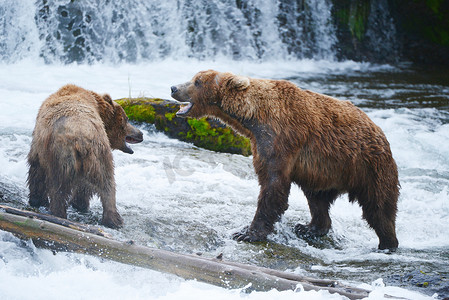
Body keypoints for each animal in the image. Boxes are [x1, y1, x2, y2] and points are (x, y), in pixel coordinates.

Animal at [26, 84, 142, 227]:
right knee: (107, 185)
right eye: (126, 119)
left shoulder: (39, 147)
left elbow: (36, 169)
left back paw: (60, 212)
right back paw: (112, 219)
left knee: (61, 188)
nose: (141, 133)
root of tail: (81, 139)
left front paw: (37, 200)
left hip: (67, 157)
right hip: (97, 156)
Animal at [172, 69, 400, 250]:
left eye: (197, 81)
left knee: (379, 206)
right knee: (317, 199)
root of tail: (379, 130)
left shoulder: (281, 138)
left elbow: (273, 185)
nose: (174, 87)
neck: (252, 118)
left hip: (368, 165)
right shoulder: (260, 143)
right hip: (323, 172)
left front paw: (246, 232)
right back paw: (309, 228)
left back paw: (387, 243)